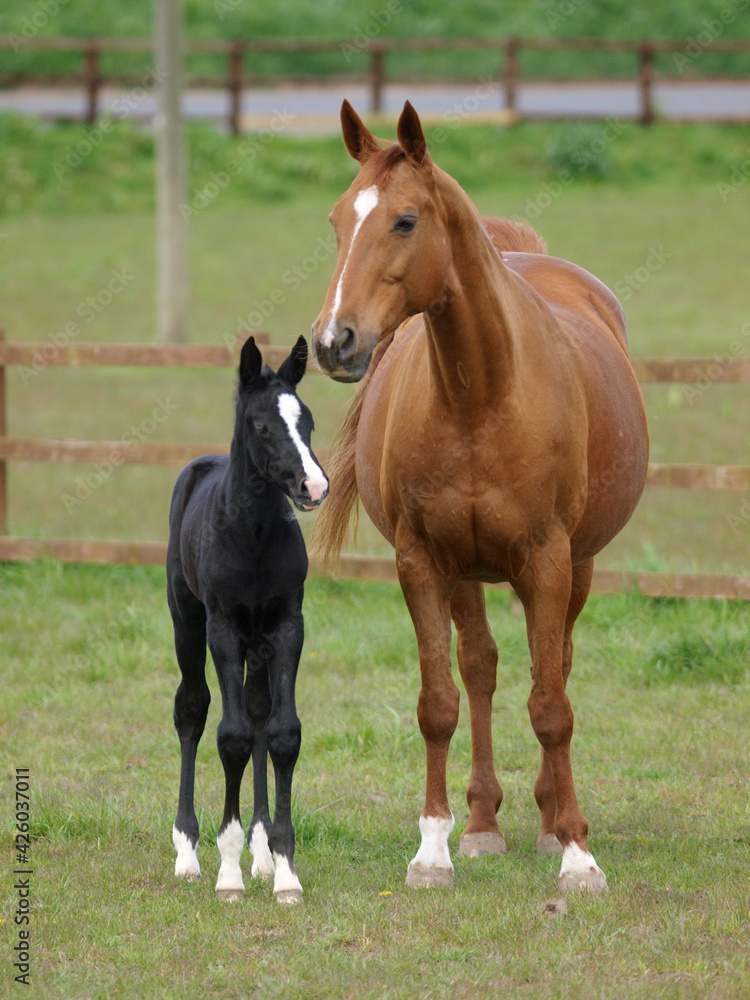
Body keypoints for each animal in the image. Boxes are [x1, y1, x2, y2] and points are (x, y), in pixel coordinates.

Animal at [167, 336, 328, 908]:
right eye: (261, 426)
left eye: (308, 422)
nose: (313, 485)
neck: (253, 534)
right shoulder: (223, 627)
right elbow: (231, 736)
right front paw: (228, 872)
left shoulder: (286, 626)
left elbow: (280, 733)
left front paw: (284, 870)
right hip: (187, 621)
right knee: (192, 710)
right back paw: (188, 853)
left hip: (258, 643)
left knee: (258, 711)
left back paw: (260, 854)